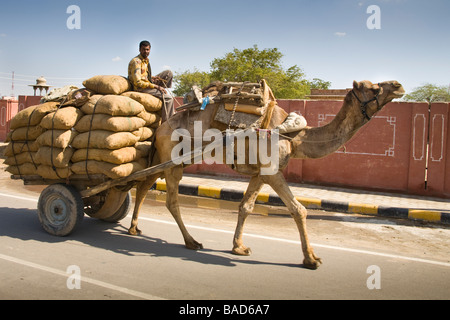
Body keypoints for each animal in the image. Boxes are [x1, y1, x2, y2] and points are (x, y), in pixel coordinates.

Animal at [125, 79, 404, 268]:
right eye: (373, 87)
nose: (398, 85)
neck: (295, 135)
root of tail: (161, 127)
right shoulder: (272, 171)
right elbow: (299, 210)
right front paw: (311, 258)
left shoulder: (261, 173)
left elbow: (246, 206)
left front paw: (238, 247)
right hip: (171, 159)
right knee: (170, 199)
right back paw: (191, 241)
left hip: (166, 158)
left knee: (143, 185)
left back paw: (135, 229)